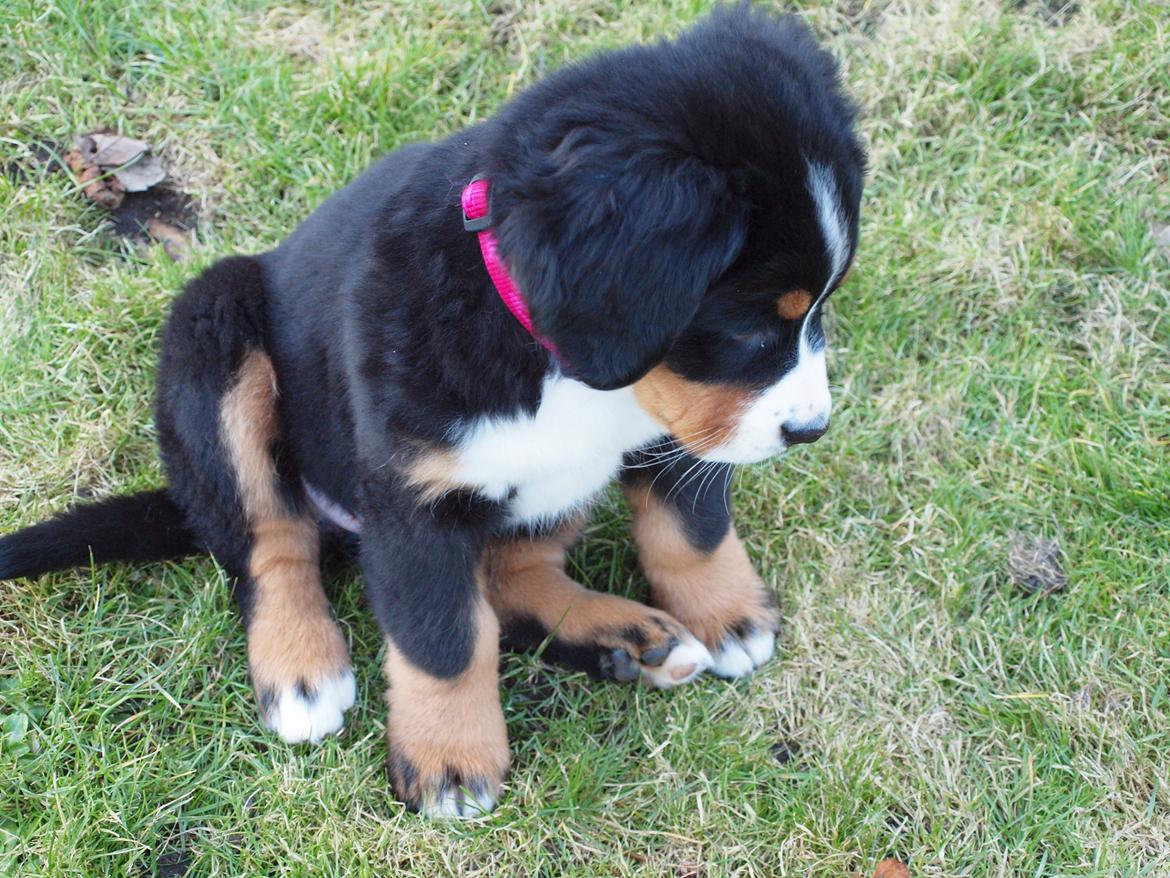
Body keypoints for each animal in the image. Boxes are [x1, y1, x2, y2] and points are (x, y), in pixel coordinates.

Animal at [0, 5, 861, 819]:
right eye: (747, 328)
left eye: (819, 310)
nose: (811, 430)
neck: (550, 356)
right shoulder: (413, 498)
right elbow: (443, 638)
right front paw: (450, 762)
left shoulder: (674, 427)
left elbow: (692, 531)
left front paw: (730, 617)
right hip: (212, 332)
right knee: (271, 541)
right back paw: (302, 668)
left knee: (511, 573)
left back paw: (627, 635)